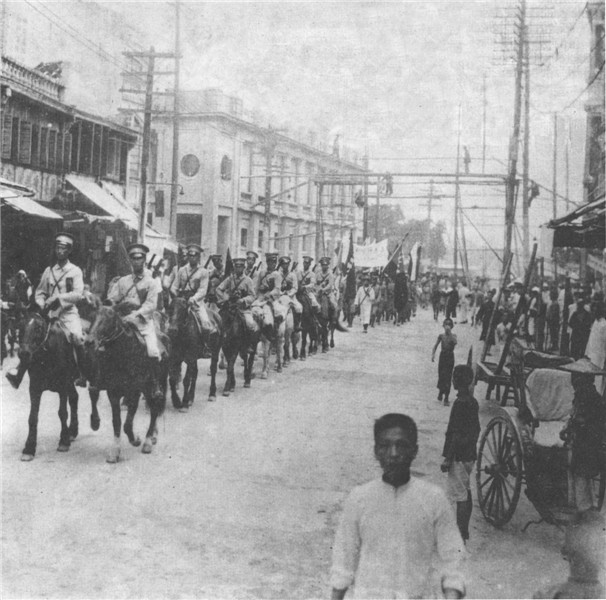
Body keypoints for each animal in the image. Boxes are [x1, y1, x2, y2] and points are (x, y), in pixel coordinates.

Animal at [19, 312, 82, 462]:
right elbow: (32, 417)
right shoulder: (34, 388)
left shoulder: (63, 385)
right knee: (74, 398)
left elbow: (62, 412)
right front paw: (29, 448)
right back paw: (73, 431)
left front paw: (63, 441)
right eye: (21, 326)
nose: (24, 353)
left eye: (38, 328)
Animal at [85, 304, 169, 464]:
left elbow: (127, 424)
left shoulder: (134, 392)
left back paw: (148, 442)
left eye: (110, 317)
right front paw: (115, 452)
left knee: (155, 409)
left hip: (152, 388)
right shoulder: (113, 393)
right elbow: (117, 422)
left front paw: (135, 439)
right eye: (92, 316)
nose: (89, 341)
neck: (123, 353)